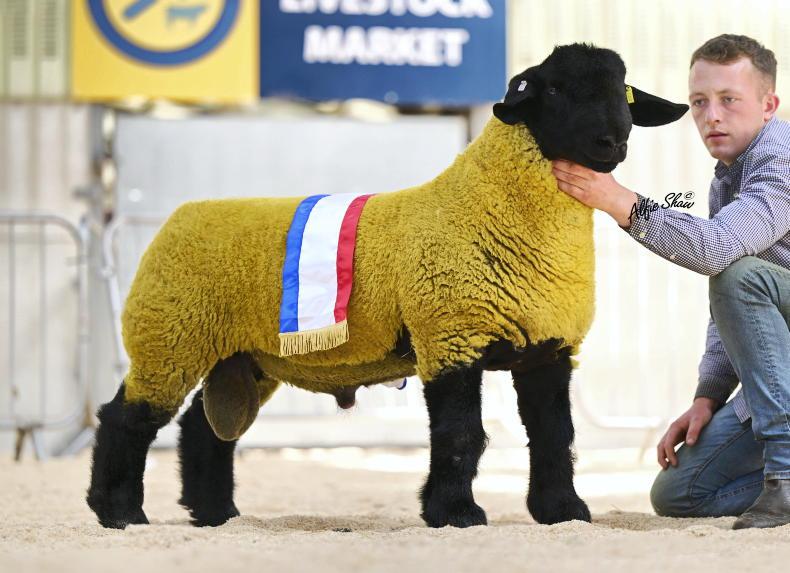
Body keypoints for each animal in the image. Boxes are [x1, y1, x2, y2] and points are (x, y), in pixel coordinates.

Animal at [86, 43, 688, 530]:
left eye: (623, 92)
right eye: (556, 88)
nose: (611, 142)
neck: (489, 206)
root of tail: (180, 217)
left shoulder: (548, 349)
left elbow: (554, 435)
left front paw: (562, 511)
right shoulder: (449, 337)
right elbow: (460, 435)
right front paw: (454, 514)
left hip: (242, 356)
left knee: (204, 429)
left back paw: (217, 515)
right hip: (169, 338)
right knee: (126, 418)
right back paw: (118, 512)